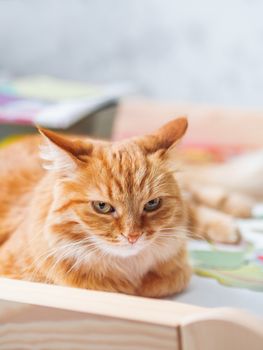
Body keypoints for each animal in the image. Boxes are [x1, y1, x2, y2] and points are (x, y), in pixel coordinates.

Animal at [0, 117, 256, 296]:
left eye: (152, 204)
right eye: (102, 206)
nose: (133, 236)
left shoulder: (176, 273)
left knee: (198, 197)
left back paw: (235, 216)